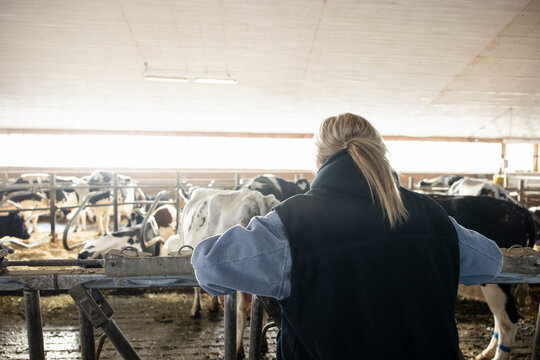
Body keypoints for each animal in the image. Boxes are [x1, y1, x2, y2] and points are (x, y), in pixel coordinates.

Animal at [161, 187, 280, 358]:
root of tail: (257, 197)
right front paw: (213, 305)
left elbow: (196, 288)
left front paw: (195, 310)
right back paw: (262, 344)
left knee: (241, 310)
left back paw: (238, 349)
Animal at [430, 194, 536, 360]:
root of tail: (520, 209)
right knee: (499, 318)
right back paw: (487, 352)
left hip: (497, 284)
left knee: (508, 320)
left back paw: (498, 356)